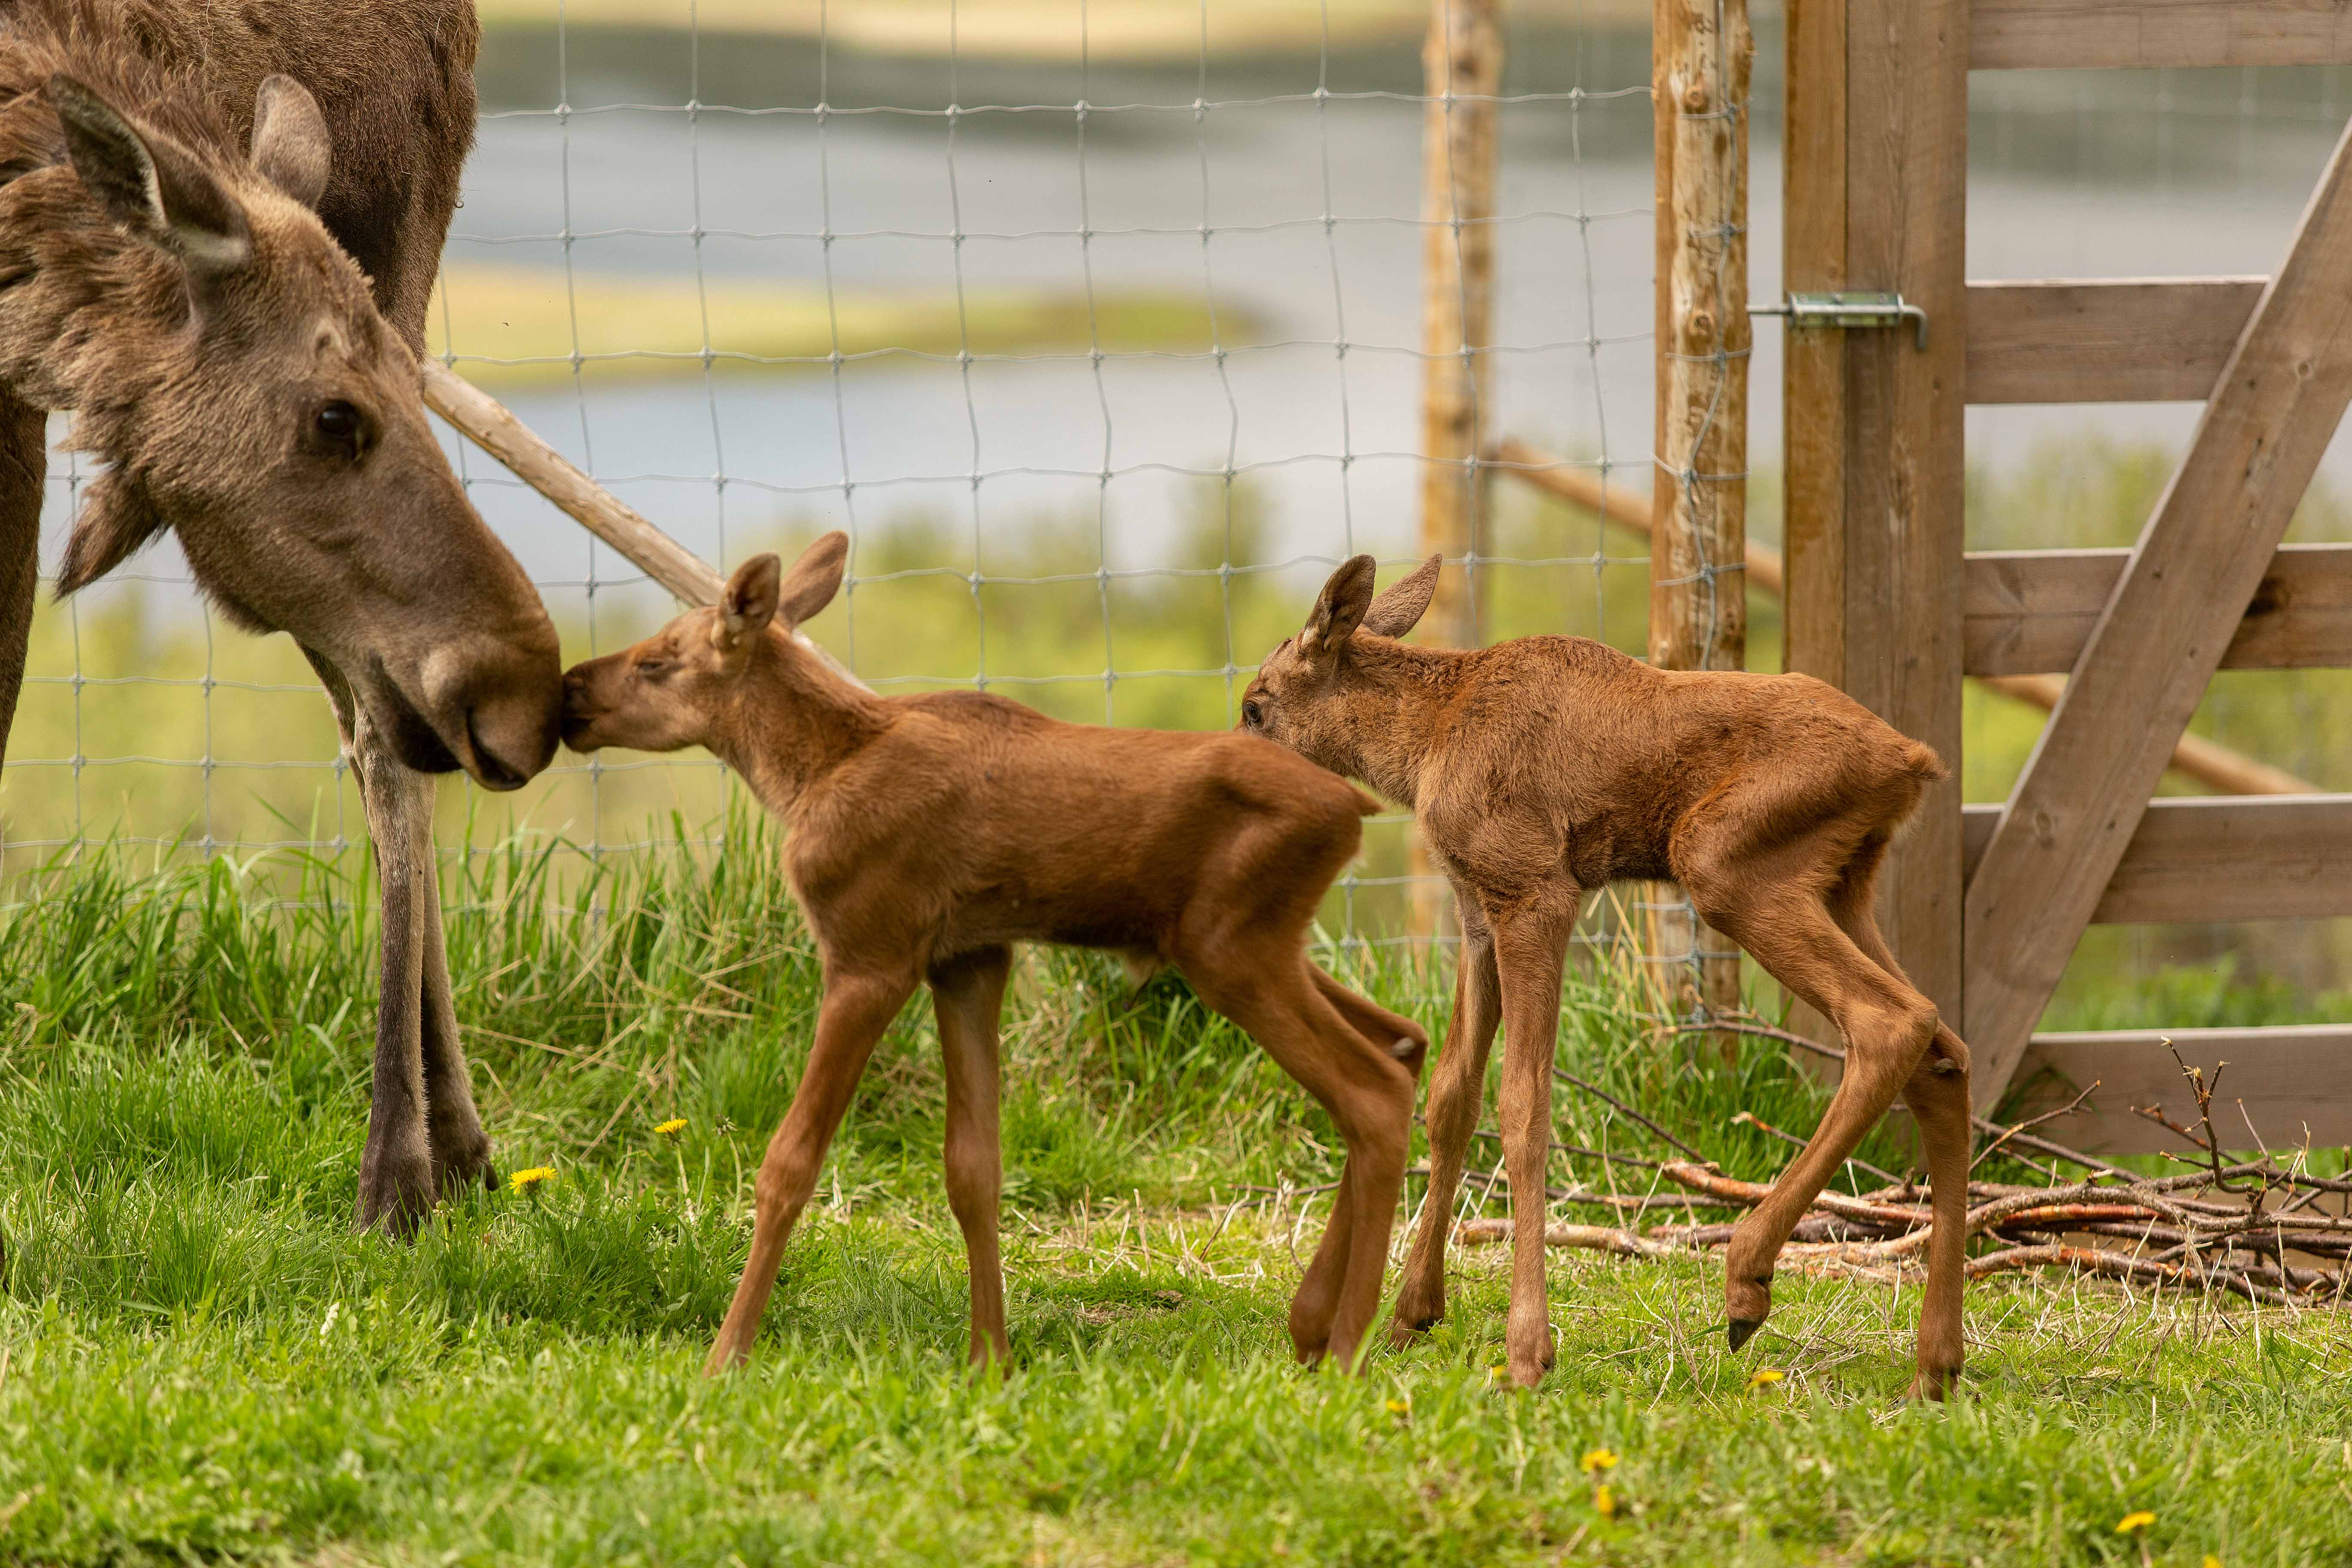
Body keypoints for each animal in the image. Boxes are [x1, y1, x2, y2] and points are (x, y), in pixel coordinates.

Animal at [560, 536, 1421, 1373]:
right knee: (1402, 1041)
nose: (570, 690)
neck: (805, 773)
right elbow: (974, 1167)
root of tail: (1356, 808)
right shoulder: (968, 957)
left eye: (657, 661)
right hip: (1260, 941)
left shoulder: (870, 951)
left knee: (1370, 1091)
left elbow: (789, 1162)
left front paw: (724, 1358)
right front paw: (989, 1358)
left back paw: (1348, 1347)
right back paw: (1313, 1324)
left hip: (1228, 946)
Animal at [1242, 552, 1975, 1401]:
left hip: (1725, 864)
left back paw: (1748, 1278)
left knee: (1893, 1022)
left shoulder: (1536, 890)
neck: (1420, 747)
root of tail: (1914, 762)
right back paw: (1935, 1361)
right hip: (1841, 885)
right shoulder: (1476, 914)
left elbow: (1523, 1106)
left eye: (1255, 708)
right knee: (1943, 1048)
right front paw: (1411, 1311)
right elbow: (1452, 1095)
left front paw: (1527, 1349)